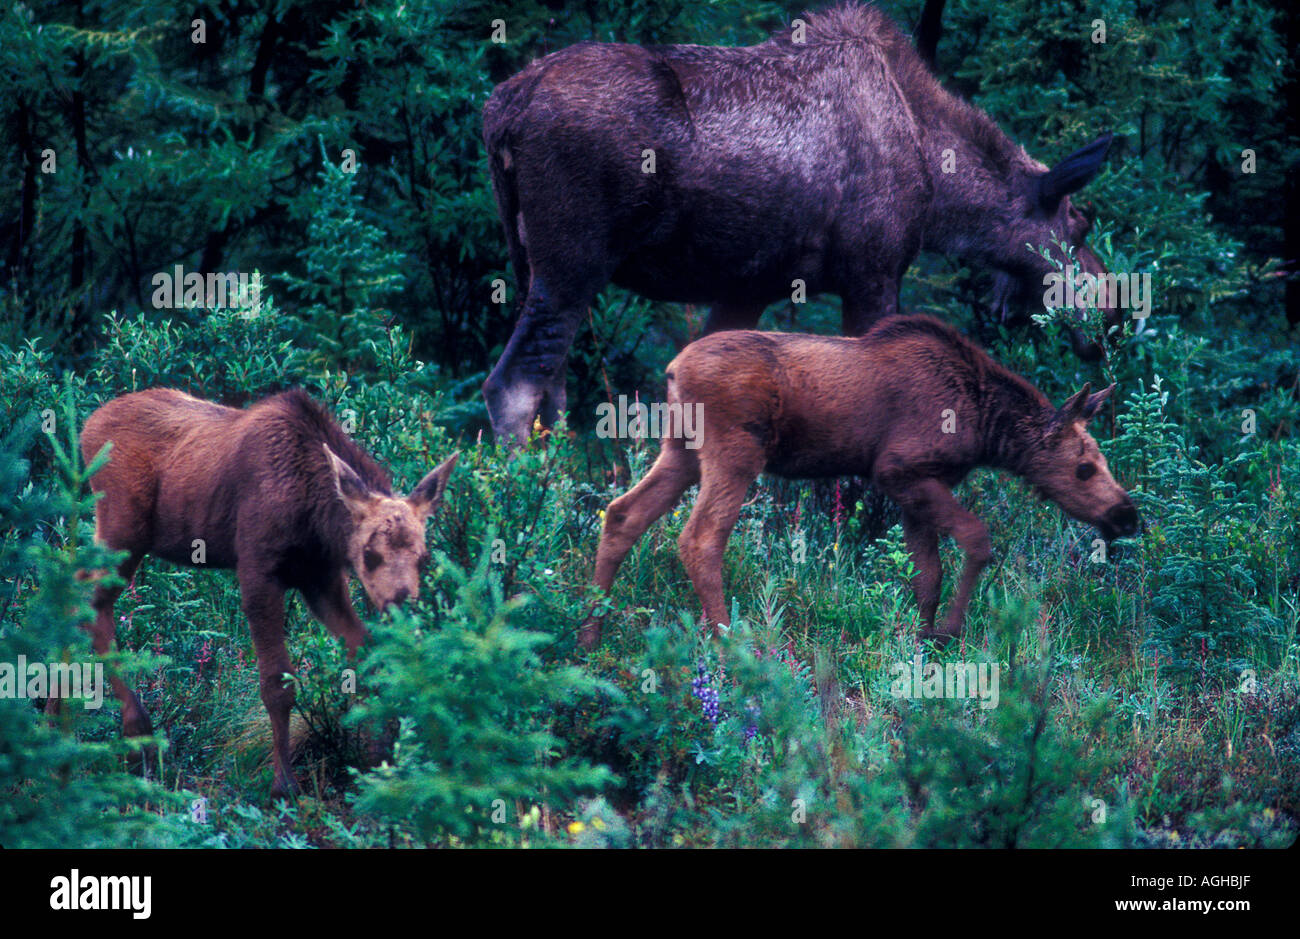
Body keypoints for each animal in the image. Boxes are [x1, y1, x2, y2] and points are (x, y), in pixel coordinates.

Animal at [72, 384, 457, 795]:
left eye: (425, 556)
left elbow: (365, 657)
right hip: (123, 529)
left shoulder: (320, 578)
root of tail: (87, 427)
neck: (317, 520)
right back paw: (136, 733)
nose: (402, 604)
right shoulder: (258, 570)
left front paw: (380, 760)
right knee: (90, 603)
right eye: (369, 554)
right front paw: (283, 784)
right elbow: (278, 684)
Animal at [486, 0, 1118, 442]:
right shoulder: (872, 274)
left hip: (529, 264)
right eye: (1081, 225)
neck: (939, 186)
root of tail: (501, 110)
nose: (1114, 314)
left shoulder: (749, 286)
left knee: (551, 389)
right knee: (513, 386)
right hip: (572, 263)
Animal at [582, 312, 1138, 645]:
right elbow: (977, 540)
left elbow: (927, 573)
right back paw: (728, 644)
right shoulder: (899, 470)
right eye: (1084, 468)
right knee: (699, 538)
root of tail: (673, 368)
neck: (987, 427)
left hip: (680, 450)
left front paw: (922, 639)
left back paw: (590, 632)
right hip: (735, 452)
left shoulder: (914, 485)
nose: (1128, 516)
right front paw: (948, 632)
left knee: (622, 513)